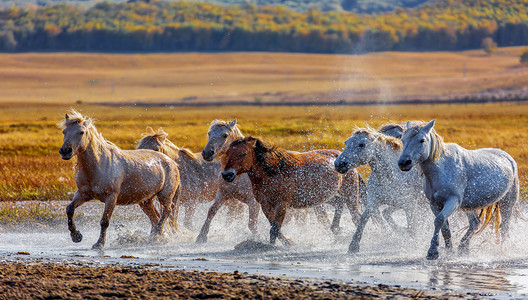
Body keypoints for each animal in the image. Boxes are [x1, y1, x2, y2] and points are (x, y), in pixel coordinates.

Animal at [58, 109, 182, 248]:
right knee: (156, 217)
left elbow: (104, 221)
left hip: (165, 195)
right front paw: (76, 236)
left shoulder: (111, 197)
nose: (65, 151)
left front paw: (99, 243)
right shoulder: (83, 194)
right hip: (146, 201)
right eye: (64, 132)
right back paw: (155, 237)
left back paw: (157, 234)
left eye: (81, 132)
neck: (99, 164)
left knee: (167, 211)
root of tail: (172, 162)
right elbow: (69, 209)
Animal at [220, 137, 364, 245]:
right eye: (227, 153)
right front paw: (286, 242)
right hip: (324, 196)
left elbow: (274, 229)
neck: (274, 172)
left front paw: (283, 245)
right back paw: (336, 229)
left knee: (355, 216)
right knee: (340, 202)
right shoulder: (266, 205)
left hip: (350, 194)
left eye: (243, 153)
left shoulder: (282, 204)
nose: (227, 175)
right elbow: (274, 228)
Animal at [398, 119, 516, 260]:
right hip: (468, 206)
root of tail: (508, 158)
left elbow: (439, 221)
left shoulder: (453, 201)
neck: (441, 169)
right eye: (403, 139)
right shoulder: (434, 204)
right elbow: (444, 227)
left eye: (422, 140)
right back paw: (463, 248)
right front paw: (449, 250)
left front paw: (433, 251)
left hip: (507, 203)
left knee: (504, 227)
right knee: (475, 222)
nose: (403, 163)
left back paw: (502, 250)